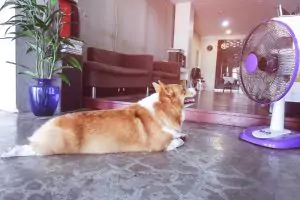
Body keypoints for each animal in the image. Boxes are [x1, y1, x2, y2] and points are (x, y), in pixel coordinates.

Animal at [1, 81, 197, 158]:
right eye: (183, 88)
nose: (195, 87)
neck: (163, 109)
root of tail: (50, 123)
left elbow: (180, 135)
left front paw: (181, 134)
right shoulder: (158, 144)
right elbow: (176, 142)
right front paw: (178, 139)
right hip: (57, 145)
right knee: (30, 149)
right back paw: (9, 152)